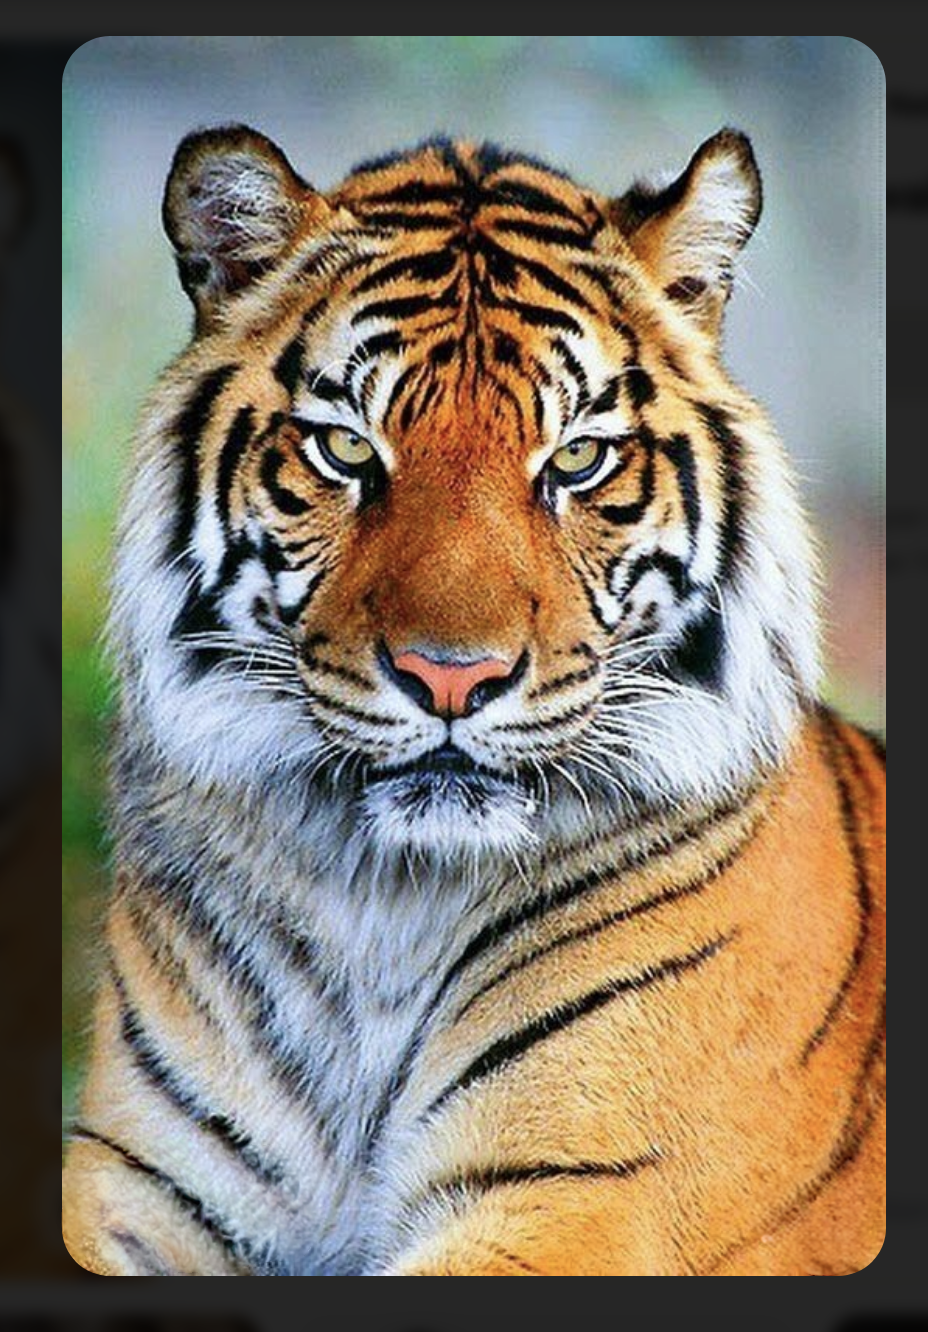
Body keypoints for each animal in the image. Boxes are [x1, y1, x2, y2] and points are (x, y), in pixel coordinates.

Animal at [61, 124, 885, 1277]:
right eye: (347, 448)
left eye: (577, 458)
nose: (453, 675)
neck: (381, 905)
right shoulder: (130, 1181)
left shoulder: (581, 1198)